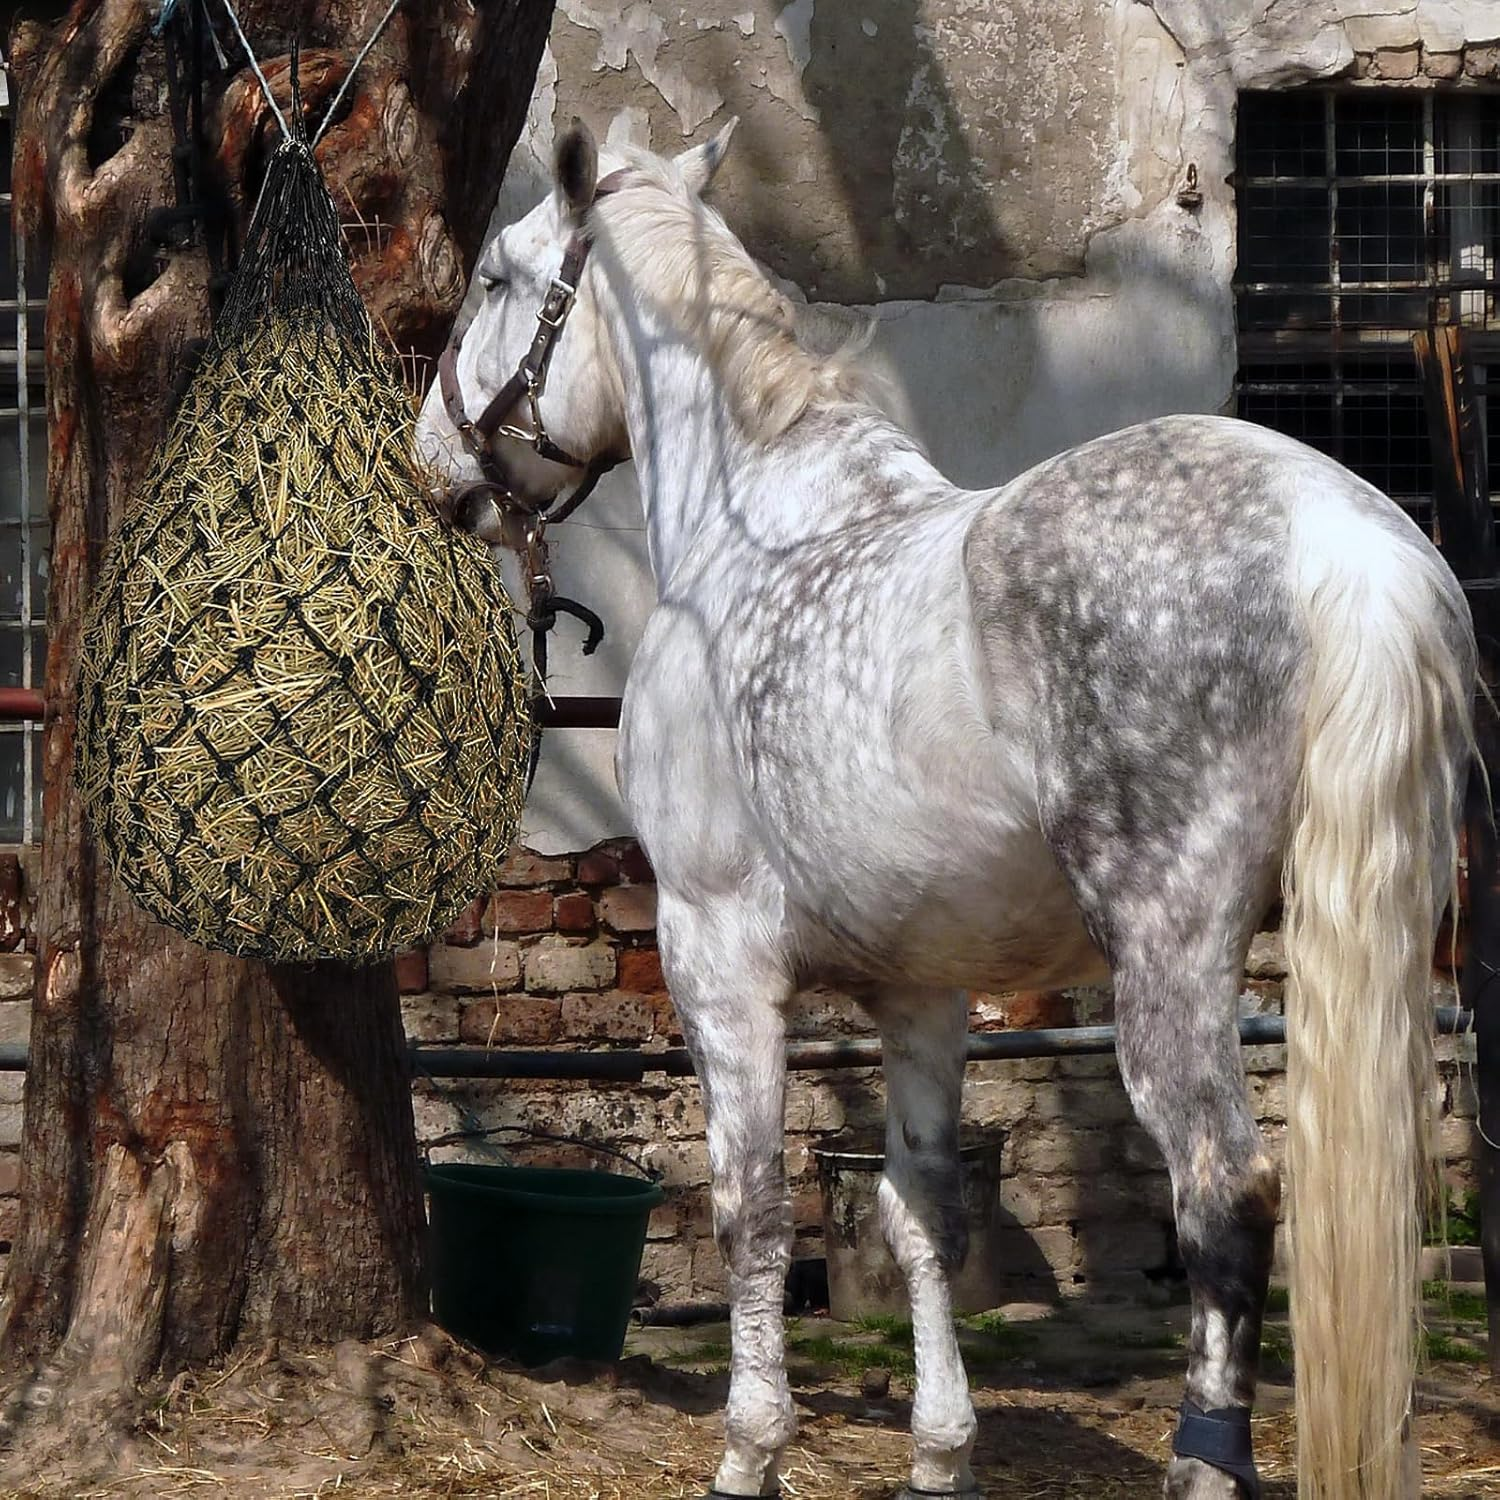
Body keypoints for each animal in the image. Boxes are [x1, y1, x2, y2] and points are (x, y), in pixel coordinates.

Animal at [415, 118, 1476, 1500]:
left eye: (496, 275)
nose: (437, 468)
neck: (756, 530)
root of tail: (1336, 533)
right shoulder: (921, 990)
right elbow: (922, 1216)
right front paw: (939, 1452)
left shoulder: (715, 956)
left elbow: (751, 1208)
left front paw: (750, 1450)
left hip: (1172, 953)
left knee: (1224, 1197)